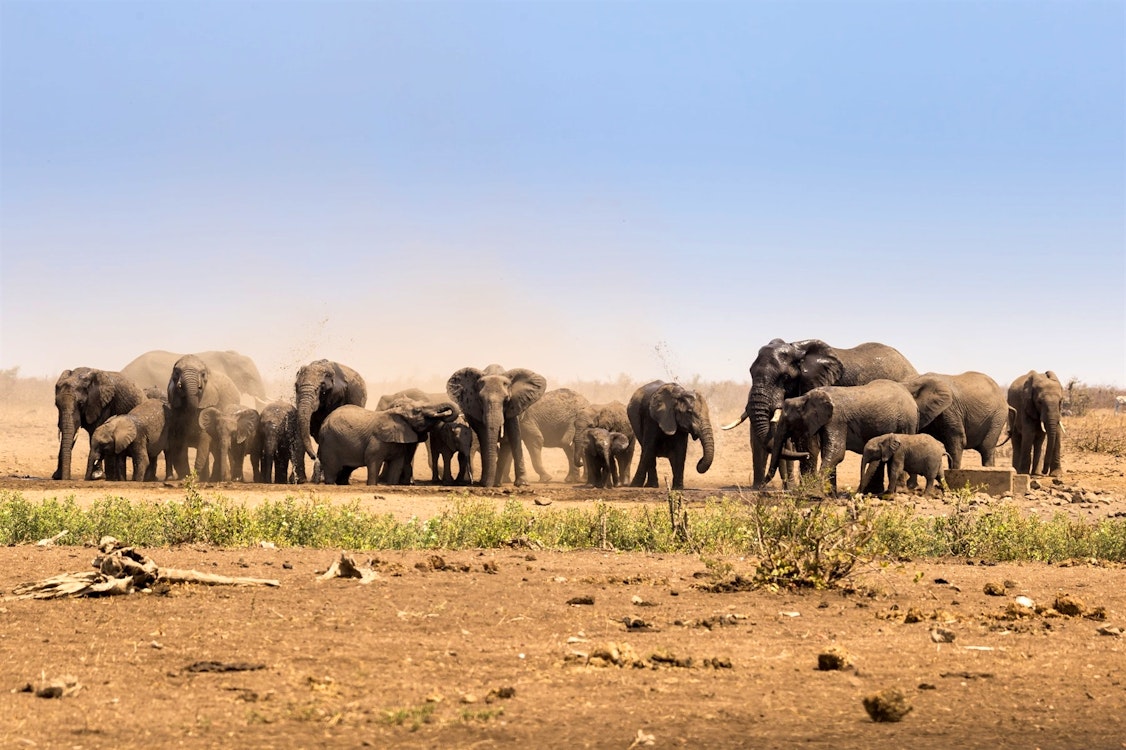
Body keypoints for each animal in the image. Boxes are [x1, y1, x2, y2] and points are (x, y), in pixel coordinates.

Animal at [316, 401, 459, 486]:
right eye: (418, 410)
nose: (446, 412)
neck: (396, 412)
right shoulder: (377, 439)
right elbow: (373, 461)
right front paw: (372, 486)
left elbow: (397, 464)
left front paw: (392, 485)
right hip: (330, 442)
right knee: (332, 468)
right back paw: (332, 484)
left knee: (346, 469)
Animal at [765, 379, 920, 496]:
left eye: (787, 420)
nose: (762, 488)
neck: (805, 397)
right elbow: (828, 452)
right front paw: (830, 496)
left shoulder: (836, 419)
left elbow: (836, 452)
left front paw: (814, 494)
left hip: (907, 421)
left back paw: (899, 491)